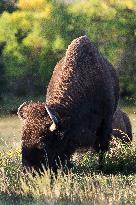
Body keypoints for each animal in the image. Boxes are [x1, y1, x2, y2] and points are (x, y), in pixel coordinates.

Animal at [18, 36, 119, 172]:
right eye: (23, 140)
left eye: (42, 144)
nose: (28, 170)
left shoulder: (105, 122)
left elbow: (101, 149)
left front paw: (101, 168)